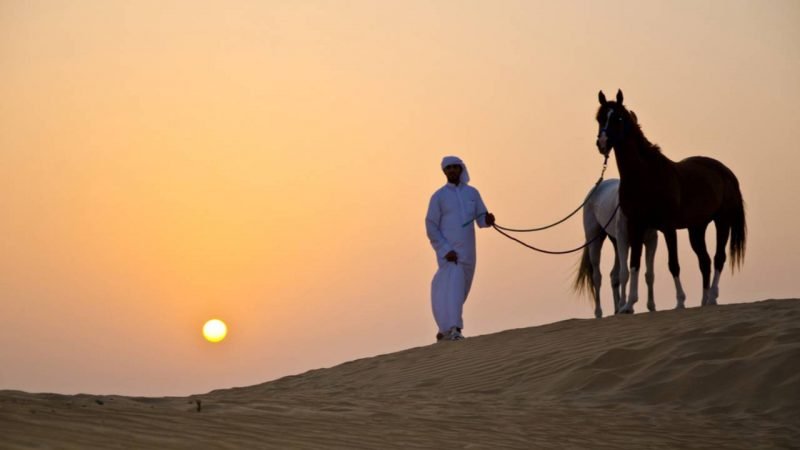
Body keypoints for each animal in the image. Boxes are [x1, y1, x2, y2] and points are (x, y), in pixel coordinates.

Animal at [572, 178, 660, 318]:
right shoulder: (624, 240)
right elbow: (624, 274)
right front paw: (625, 306)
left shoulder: (651, 241)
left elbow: (649, 274)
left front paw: (651, 306)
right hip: (596, 239)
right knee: (597, 276)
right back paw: (599, 312)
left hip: (615, 242)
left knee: (613, 275)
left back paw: (617, 309)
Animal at [592, 89, 744, 312]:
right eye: (600, 118)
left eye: (618, 117)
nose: (602, 144)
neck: (646, 176)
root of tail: (725, 171)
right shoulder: (636, 226)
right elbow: (635, 264)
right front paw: (629, 304)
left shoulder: (668, 227)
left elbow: (674, 264)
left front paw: (680, 301)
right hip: (696, 228)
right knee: (705, 261)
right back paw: (704, 301)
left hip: (722, 222)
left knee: (718, 258)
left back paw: (712, 297)